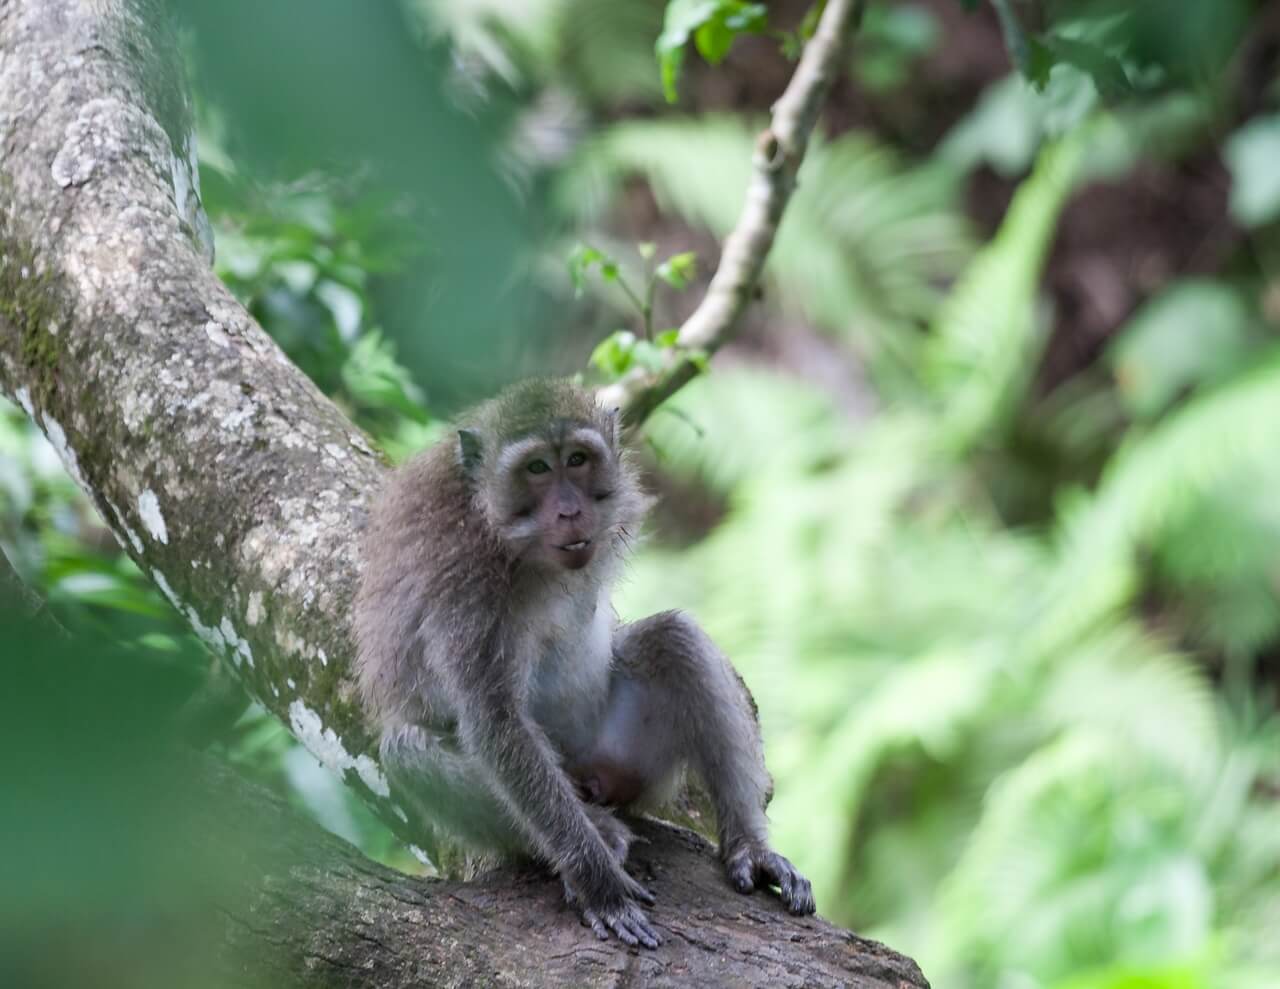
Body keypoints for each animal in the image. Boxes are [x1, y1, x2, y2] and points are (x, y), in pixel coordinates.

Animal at [353, 373, 808, 946]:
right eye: (536, 469)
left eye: (576, 459)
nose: (569, 511)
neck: (517, 547)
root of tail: (593, 775)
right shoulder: (466, 586)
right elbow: (497, 724)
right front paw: (598, 883)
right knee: (407, 749)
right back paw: (602, 833)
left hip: (626, 752)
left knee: (674, 639)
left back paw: (748, 847)